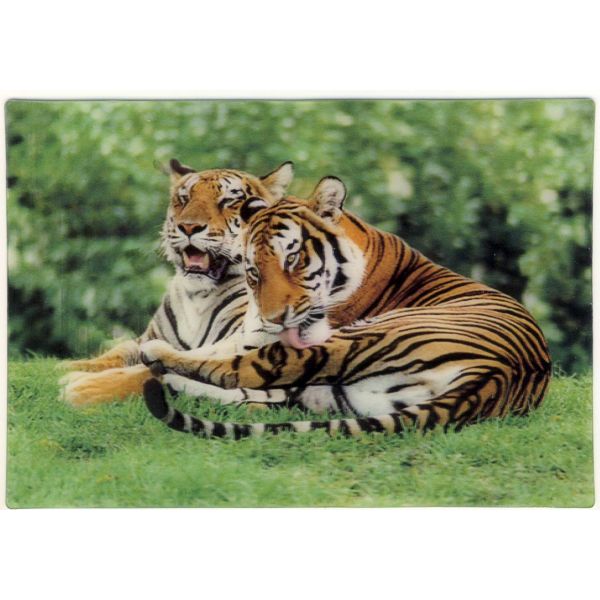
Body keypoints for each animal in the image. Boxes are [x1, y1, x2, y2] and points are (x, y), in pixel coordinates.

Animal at [61, 158, 296, 406]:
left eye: (228, 201)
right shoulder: (148, 339)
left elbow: (153, 372)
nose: (189, 227)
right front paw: (67, 367)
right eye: (184, 199)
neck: (198, 296)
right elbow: (119, 351)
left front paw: (81, 387)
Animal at [139, 174, 552, 439]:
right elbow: (215, 351)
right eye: (254, 270)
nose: (275, 318)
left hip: (354, 338)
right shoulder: (252, 332)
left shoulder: (268, 337)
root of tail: (494, 377)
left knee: (243, 376)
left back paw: (161, 366)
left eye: (293, 259)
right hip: (339, 394)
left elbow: (221, 360)